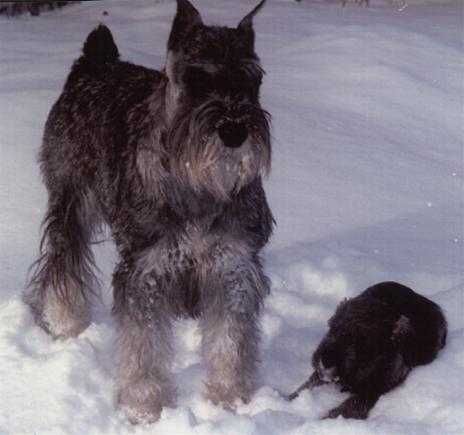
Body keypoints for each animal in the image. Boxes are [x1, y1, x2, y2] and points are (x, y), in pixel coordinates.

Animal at [24, 0, 272, 424]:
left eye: (251, 80)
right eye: (197, 77)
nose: (234, 131)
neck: (198, 187)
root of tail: (94, 64)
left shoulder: (232, 265)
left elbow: (230, 341)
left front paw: (230, 400)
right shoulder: (146, 269)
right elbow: (142, 346)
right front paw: (144, 408)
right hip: (70, 202)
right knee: (62, 261)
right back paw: (65, 322)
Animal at [288, 282, 448, 420]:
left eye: (363, 339)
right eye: (333, 327)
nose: (325, 363)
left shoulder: (373, 389)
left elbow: (351, 405)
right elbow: (306, 385)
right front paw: (288, 400)